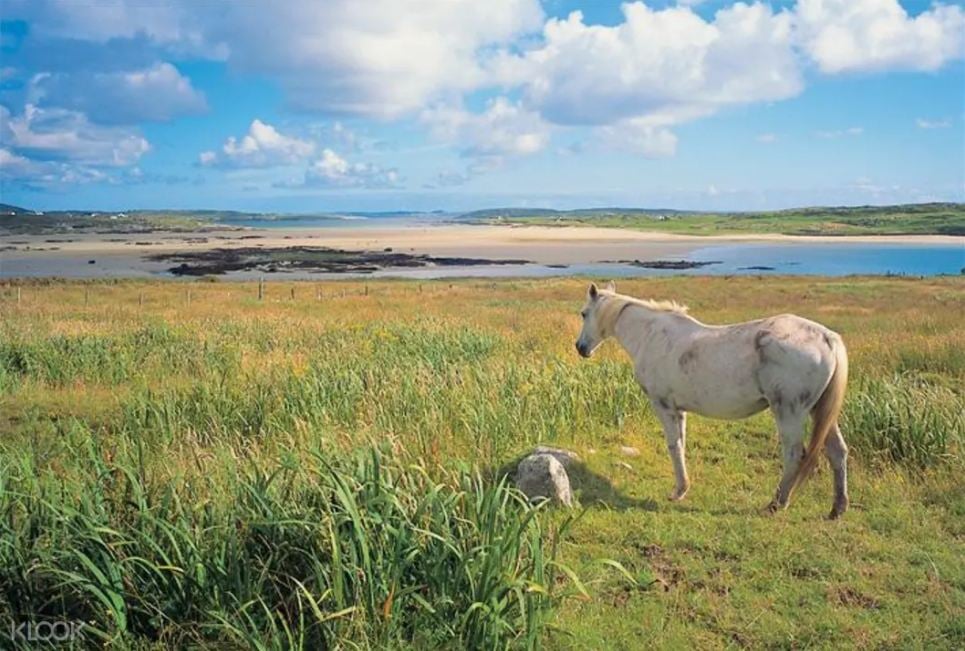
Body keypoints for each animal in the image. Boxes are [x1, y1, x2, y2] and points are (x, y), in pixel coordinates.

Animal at [576, 280, 848, 520]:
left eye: (583, 313)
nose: (580, 347)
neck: (651, 335)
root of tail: (827, 337)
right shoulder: (679, 410)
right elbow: (681, 445)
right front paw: (682, 488)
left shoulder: (663, 406)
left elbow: (673, 446)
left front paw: (677, 492)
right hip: (819, 411)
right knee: (838, 452)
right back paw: (837, 509)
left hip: (789, 412)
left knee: (793, 455)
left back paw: (776, 503)